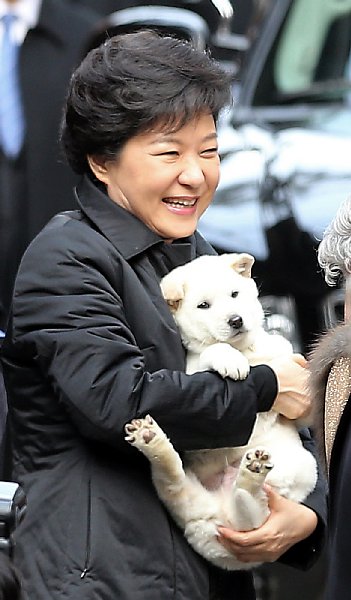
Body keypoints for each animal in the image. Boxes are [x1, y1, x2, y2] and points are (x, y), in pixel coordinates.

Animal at [124, 254, 320, 572]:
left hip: (297, 466)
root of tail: (219, 513)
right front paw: (231, 362)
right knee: (238, 510)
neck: (246, 350)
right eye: (204, 305)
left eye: (234, 294)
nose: (235, 320)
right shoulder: (190, 370)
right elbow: (211, 350)